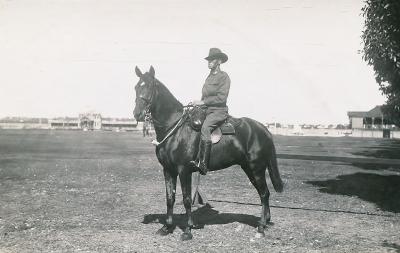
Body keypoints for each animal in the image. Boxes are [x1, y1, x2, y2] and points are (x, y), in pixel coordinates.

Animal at [134, 66, 284, 240]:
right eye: (136, 87)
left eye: (149, 86)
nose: (137, 114)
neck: (175, 129)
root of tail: (263, 129)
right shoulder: (168, 170)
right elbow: (170, 198)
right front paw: (166, 227)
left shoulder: (183, 170)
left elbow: (186, 199)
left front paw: (187, 230)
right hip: (249, 169)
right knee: (263, 194)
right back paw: (265, 221)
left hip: (256, 168)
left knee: (264, 193)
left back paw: (261, 227)